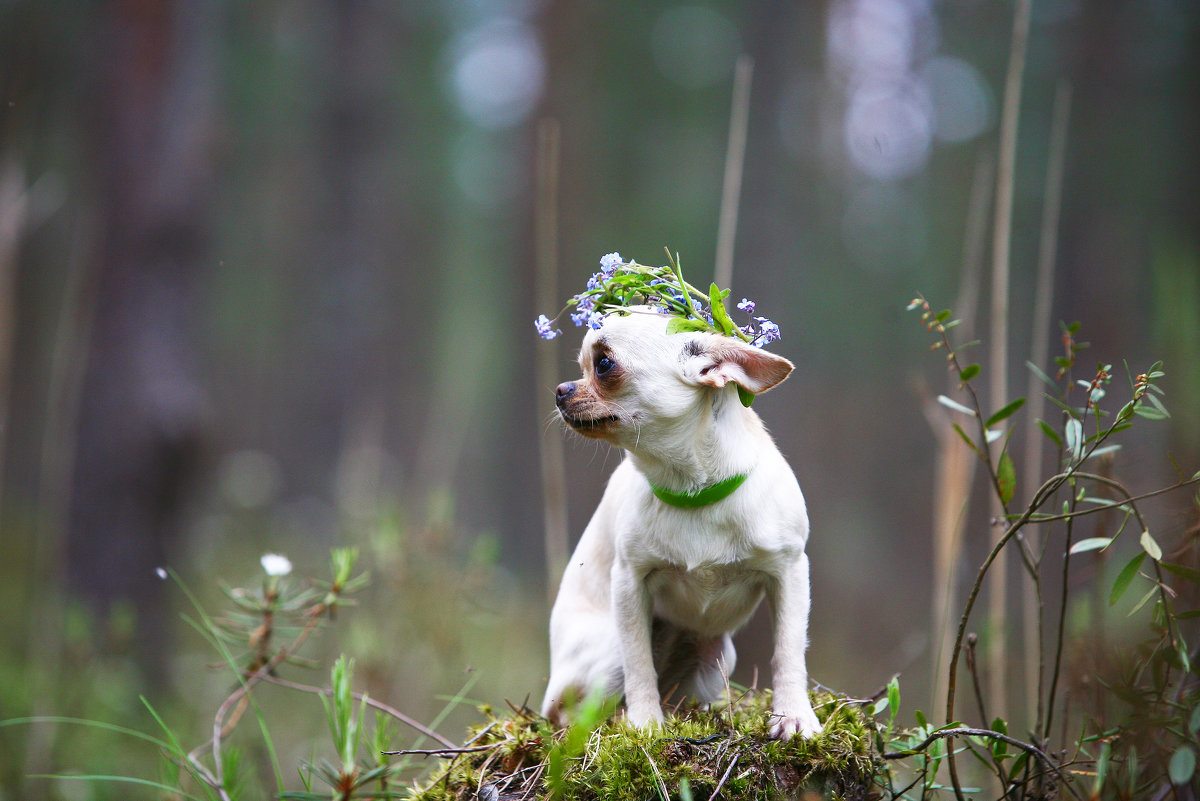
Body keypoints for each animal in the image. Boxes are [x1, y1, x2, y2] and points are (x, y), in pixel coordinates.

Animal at [544, 304, 825, 738]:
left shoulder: (789, 574)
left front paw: (793, 714)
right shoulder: (628, 584)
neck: (691, 489)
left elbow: (789, 649)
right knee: (571, 713)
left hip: (716, 659)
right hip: (605, 654)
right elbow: (639, 663)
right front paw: (644, 723)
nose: (560, 390)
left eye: (604, 364)